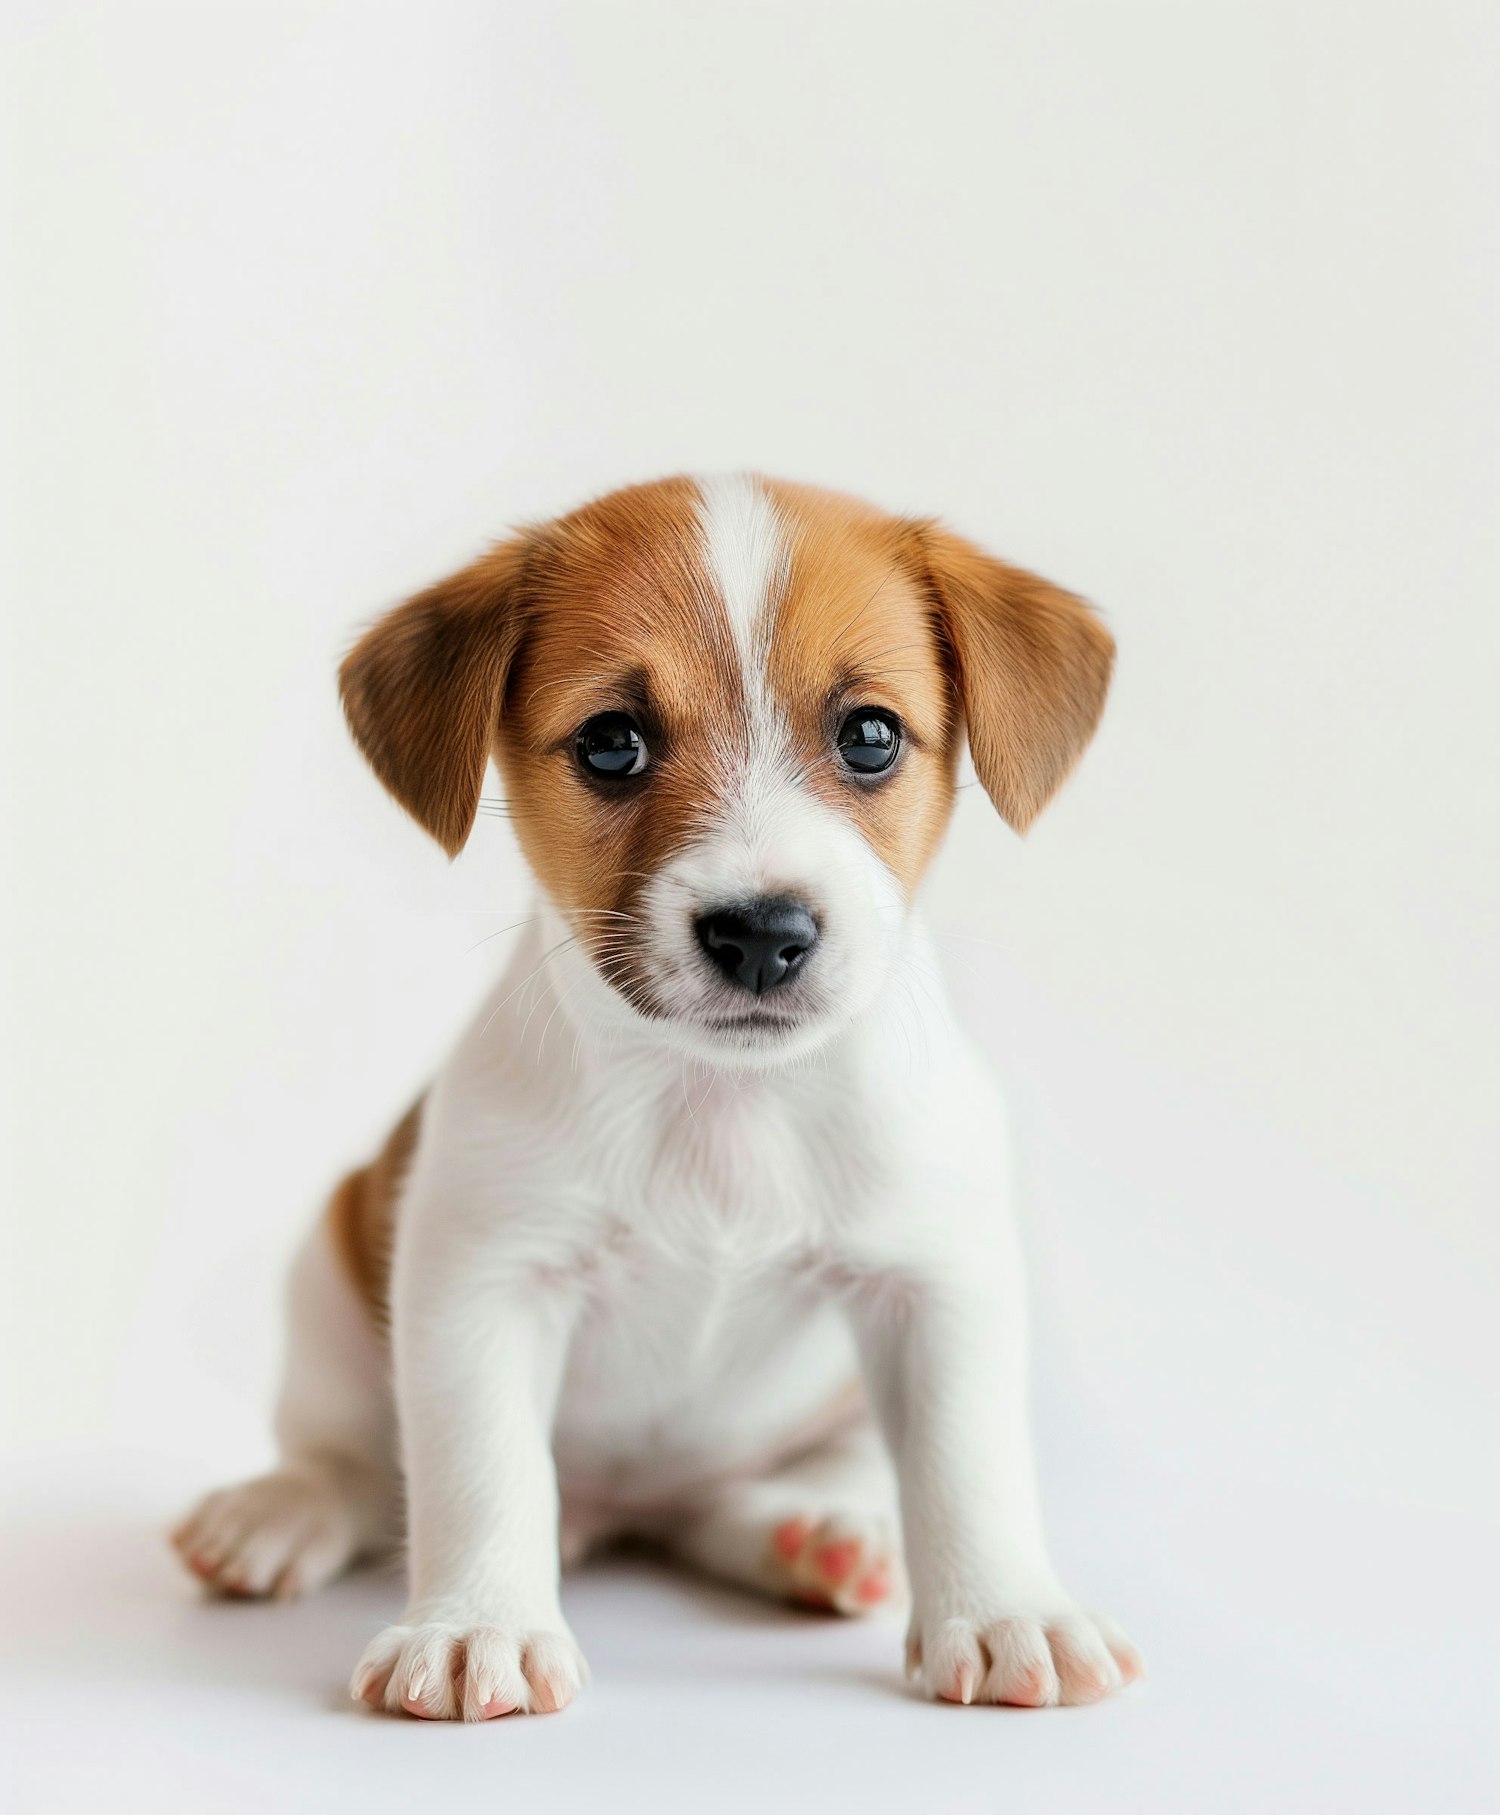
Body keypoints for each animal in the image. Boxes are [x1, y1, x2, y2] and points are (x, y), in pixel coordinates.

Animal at [169, 471, 1140, 1713]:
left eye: (872, 735)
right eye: (611, 743)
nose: (762, 933)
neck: (720, 1101)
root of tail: (625, 1513)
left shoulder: (937, 1284)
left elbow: (966, 1463)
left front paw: (1008, 1608)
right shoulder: (481, 1285)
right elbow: (481, 1470)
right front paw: (476, 1625)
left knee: (752, 1495)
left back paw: (814, 1533)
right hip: (329, 1270)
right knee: (345, 1454)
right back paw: (279, 1511)